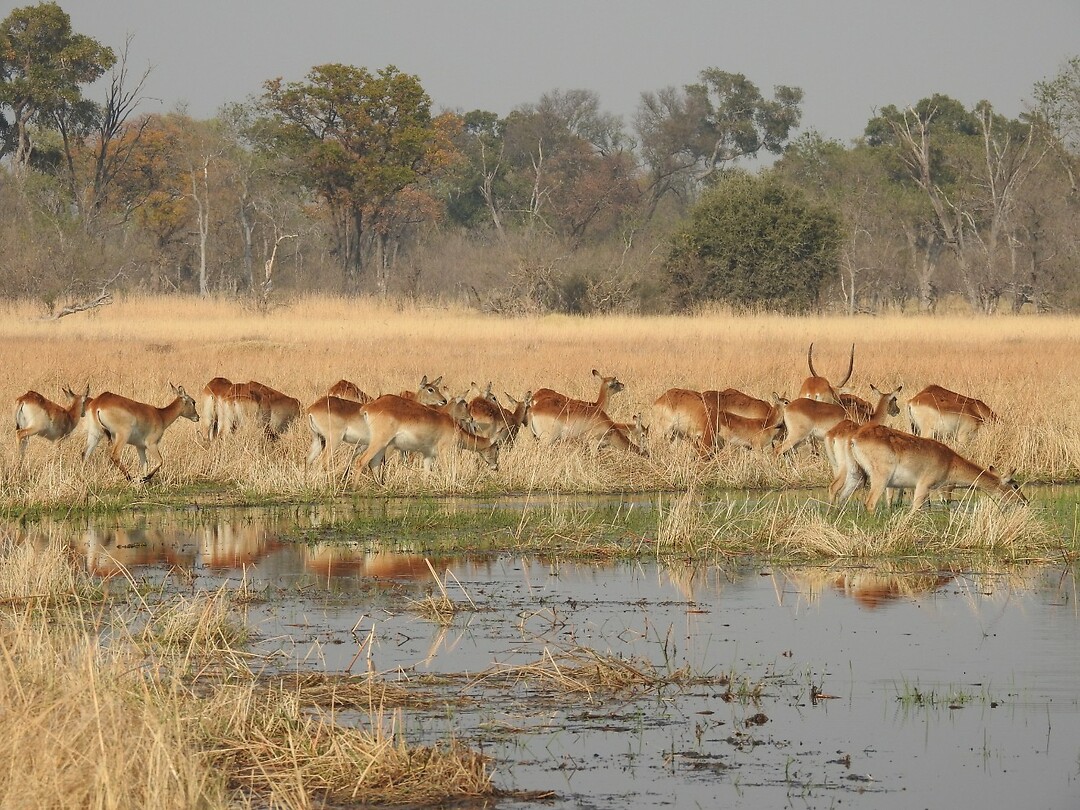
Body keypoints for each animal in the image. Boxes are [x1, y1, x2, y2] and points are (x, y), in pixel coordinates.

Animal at [353, 394, 509, 483]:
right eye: (497, 447)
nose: (496, 467)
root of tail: (368, 407)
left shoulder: (428, 455)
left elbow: (427, 474)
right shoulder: (444, 453)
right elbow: (447, 472)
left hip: (383, 446)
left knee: (374, 464)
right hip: (379, 443)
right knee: (361, 461)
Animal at [847, 424, 1026, 513]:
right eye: (1015, 485)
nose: (1025, 501)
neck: (949, 460)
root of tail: (856, 438)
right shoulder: (923, 485)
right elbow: (915, 509)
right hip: (880, 478)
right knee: (870, 503)